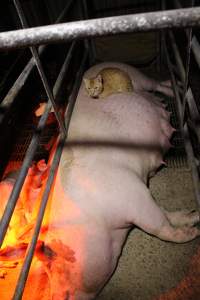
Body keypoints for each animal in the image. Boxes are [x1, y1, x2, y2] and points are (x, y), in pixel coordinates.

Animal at [0, 62, 200, 298]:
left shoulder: (133, 194)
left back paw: (174, 87)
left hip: (135, 74)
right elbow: (167, 214)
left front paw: (191, 234)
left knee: (155, 83)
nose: (56, 296)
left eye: (48, 256)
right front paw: (193, 217)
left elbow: (159, 227)